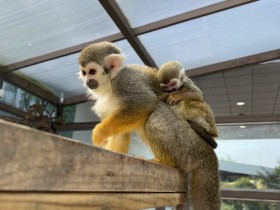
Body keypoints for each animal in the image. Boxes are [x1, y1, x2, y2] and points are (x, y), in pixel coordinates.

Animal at [77, 41, 220, 210]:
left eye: (92, 71)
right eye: (84, 72)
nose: (87, 81)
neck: (111, 82)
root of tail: (206, 150)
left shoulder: (126, 81)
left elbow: (145, 103)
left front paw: (99, 133)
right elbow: (121, 132)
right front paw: (111, 151)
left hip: (188, 143)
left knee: (155, 113)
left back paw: (165, 161)